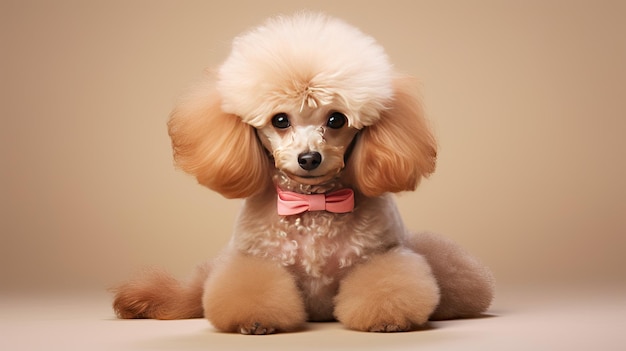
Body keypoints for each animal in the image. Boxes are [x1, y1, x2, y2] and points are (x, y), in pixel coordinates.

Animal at [111, 11, 492, 336]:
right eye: (280, 120)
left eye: (336, 119)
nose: (309, 158)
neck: (314, 205)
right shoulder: (253, 262)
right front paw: (255, 322)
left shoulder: (383, 257)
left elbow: (385, 286)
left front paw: (388, 319)